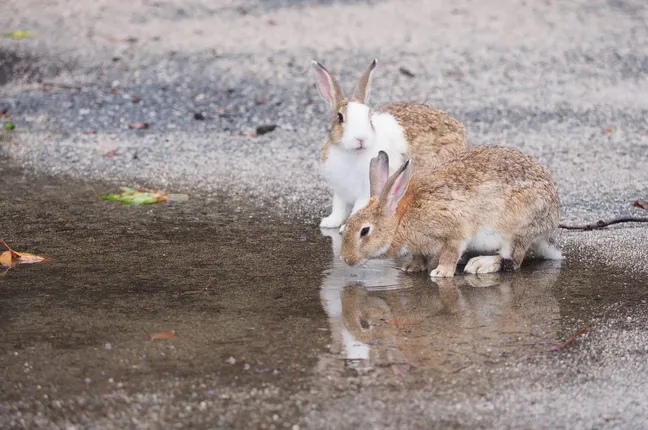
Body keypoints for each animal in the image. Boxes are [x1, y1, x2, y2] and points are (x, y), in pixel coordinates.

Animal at [310, 59, 468, 233]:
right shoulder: (339, 191)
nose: (361, 138)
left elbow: (358, 208)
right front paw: (329, 222)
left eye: (370, 119)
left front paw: (345, 227)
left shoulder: (366, 192)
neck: (351, 153)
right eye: (340, 117)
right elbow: (338, 207)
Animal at [339, 146, 563, 278]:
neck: (400, 219)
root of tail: (551, 219)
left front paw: (441, 272)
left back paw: (480, 264)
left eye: (364, 231)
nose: (346, 259)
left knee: (513, 260)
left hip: (516, 226)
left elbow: (450, 252)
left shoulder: (455, 231)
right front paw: (412, 267)